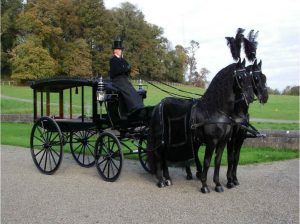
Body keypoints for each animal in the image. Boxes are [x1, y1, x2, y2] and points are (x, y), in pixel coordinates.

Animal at [147, 58, 253, 192]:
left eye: (249, 76)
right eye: (240, 76)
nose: (250, 97)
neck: (216, 111)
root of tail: (158, 106)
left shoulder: (223, 141)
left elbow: (217, 161)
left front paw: (218, 184)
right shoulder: (211, 141)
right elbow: (207, 162)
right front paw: (204, 185)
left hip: (168, 141)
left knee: (164, 156)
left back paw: (168, 179)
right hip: (159, 140)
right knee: (158, 156)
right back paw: (161, 181)